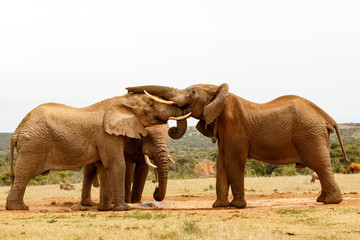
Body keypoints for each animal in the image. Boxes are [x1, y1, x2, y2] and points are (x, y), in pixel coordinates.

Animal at [6, 92, 188, 210]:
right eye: (151, 104)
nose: (156, 191)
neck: (121, 101)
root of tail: (17, 131)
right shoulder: (107, 135)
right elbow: (116, 164)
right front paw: (124, 208)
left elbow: (103, 166)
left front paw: (105, 208)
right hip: (34, 145)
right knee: (24, 174)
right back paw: (19, 208)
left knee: (19, 175)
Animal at [126, 83, 348, 207]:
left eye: (193, 92)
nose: (127, 90)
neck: (219, 94)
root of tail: (327, 117)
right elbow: (221, 163)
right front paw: (219, 206)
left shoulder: (234, 128)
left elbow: (233, 162)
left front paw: (237, 206)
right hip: (313, 135)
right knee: (319, 165)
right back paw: (322, 200)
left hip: (309, 134)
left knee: (319, 164)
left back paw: (331, 202)